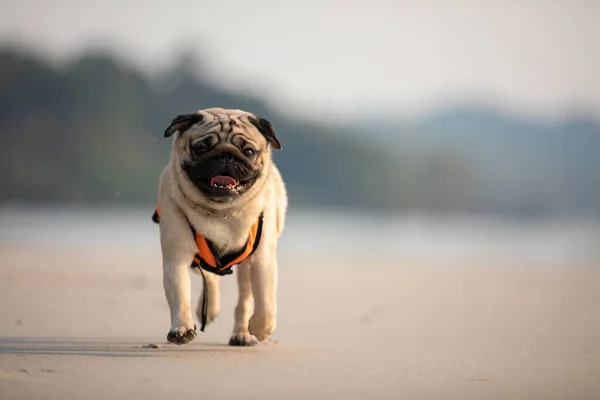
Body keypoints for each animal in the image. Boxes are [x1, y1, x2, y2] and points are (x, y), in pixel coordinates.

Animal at [154, 108, 288, 346]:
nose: (226, 155)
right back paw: (210, 310)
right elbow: (180, 294)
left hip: (246, 269)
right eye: (201, 149)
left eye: (249, 151)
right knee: (210, 277)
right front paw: (181, 328)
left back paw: (242, 333)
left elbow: (266, 302)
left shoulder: (262, 260)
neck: (222, 212)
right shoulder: (177, 257)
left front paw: (261, 328)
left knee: (245, 299)